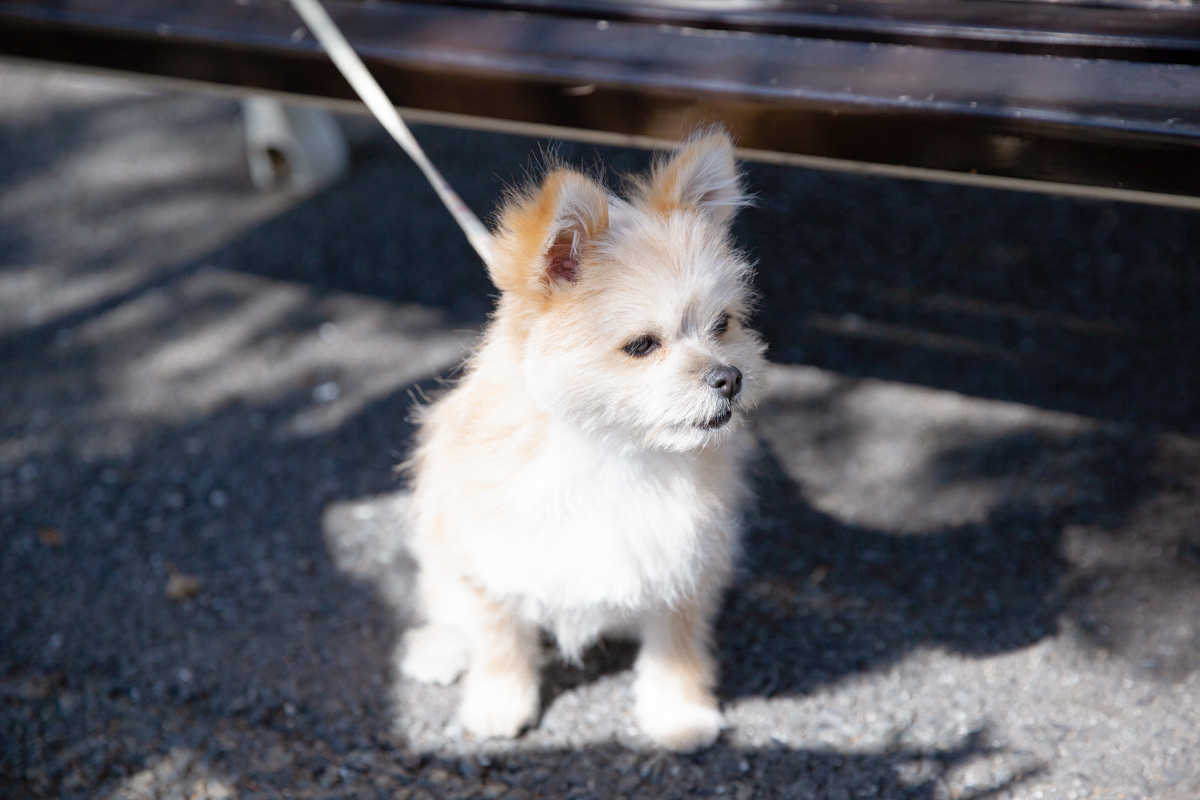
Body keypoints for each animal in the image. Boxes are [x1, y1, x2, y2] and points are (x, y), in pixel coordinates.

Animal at [398, 130, 763, 753]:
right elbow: (498, 639)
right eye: (641, 345)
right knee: (447, 604)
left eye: (723, 325)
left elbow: (676, 652)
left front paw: (678, 715)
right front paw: (497, 704)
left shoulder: (685, 570)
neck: (612, 454)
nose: (729, 378)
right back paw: (439, 648)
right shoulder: (487, 562)